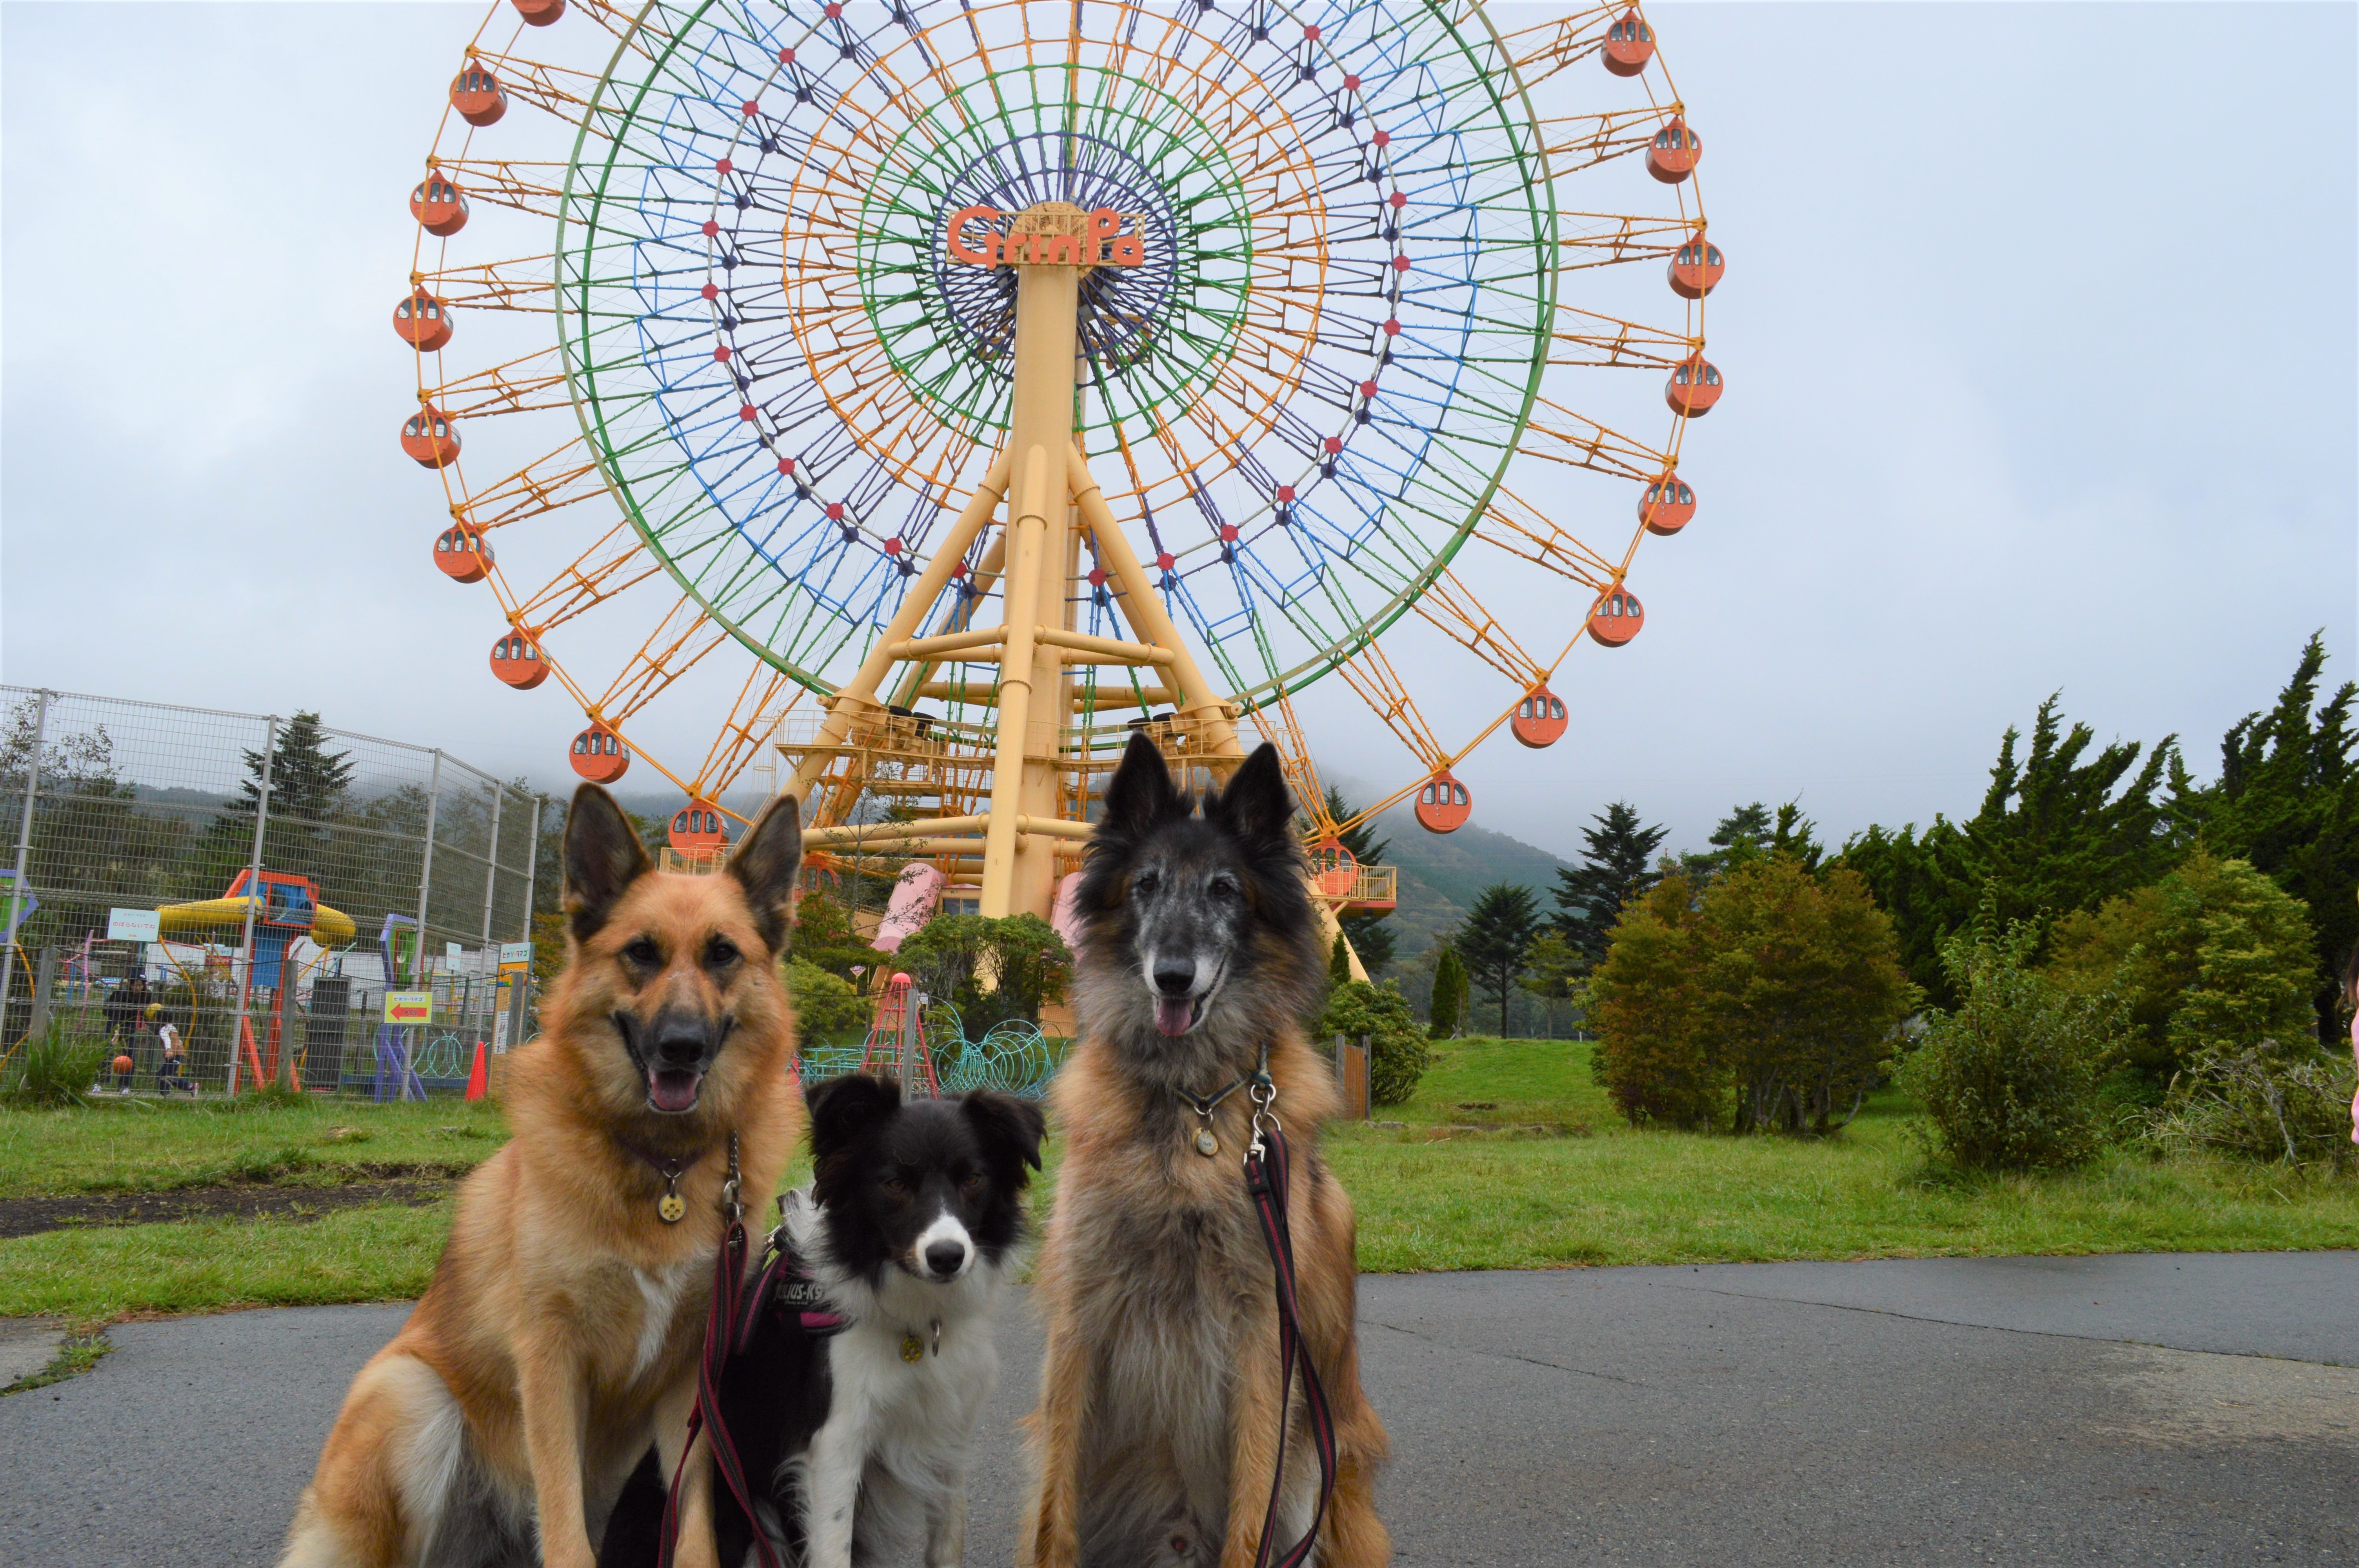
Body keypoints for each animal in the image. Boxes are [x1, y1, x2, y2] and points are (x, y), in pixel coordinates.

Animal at [278, 782, 802, 1565]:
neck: (663, 1166)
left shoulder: (689, 1383)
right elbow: (561, 1516)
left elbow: (695, 1519)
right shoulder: (551, 1365)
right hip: (411, 1396)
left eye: (723, 955)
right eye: (640, 953)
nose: (681, 1047)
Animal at [1023, 735, 1387, 1565]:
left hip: (1317, 1473)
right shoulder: (1079, 1315)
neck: (1189, 1103)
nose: (1173, 977)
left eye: (1224, 890)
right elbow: (1054, 1508)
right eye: (1146, 885)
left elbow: (1253, 1493)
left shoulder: (1262, 1327)